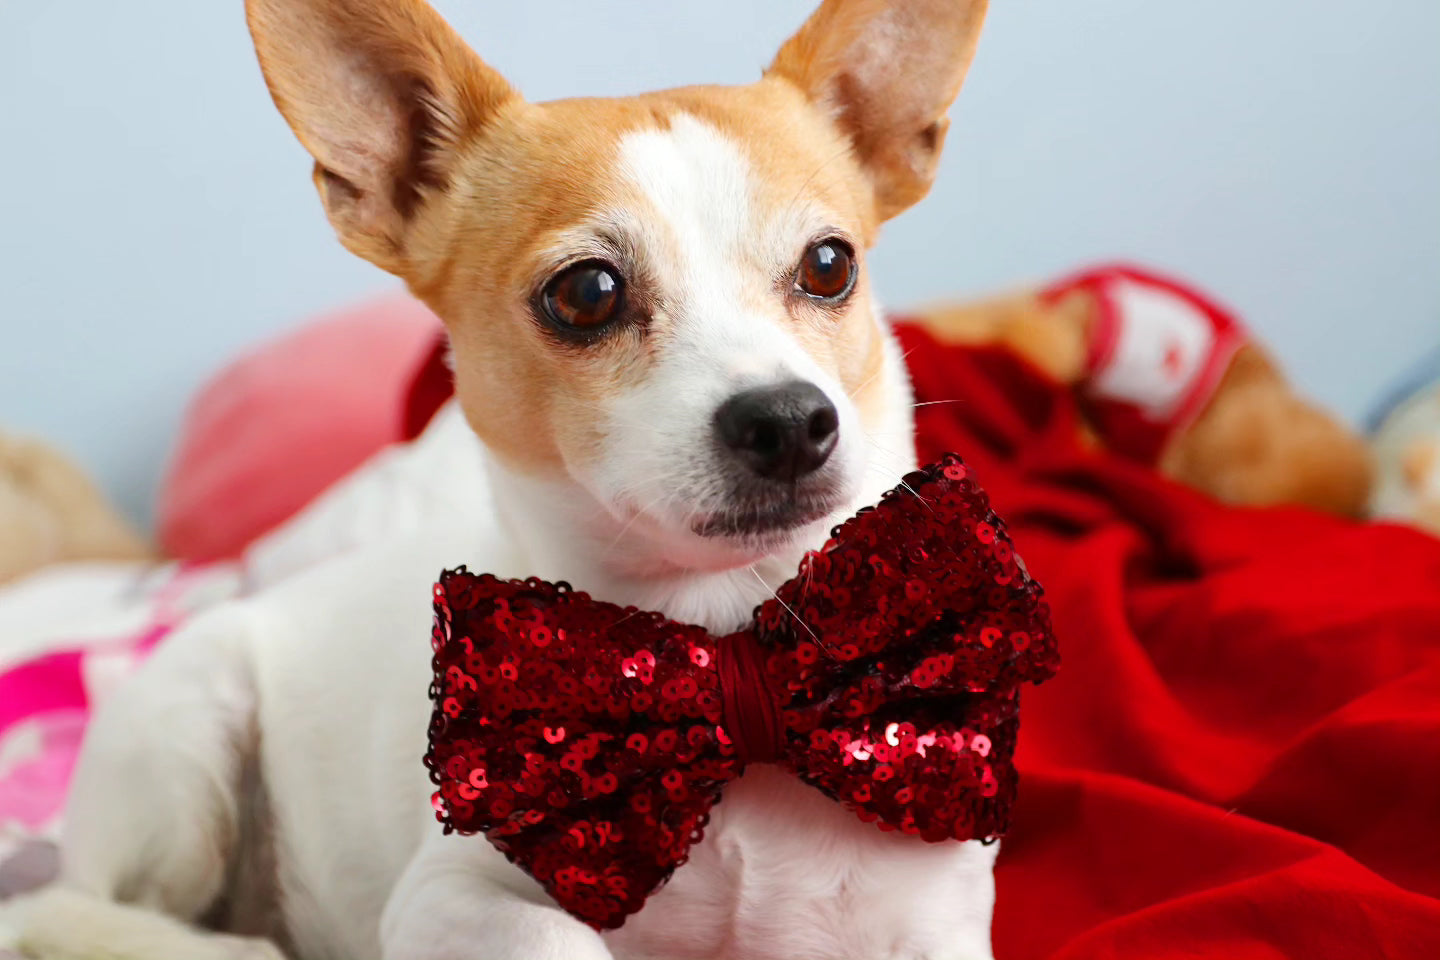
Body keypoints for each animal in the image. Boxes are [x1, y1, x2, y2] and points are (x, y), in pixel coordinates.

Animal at [5, 1, 1002, 960]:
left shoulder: (937, 925)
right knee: (71, 909)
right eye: (588, 293)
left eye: (830, 266)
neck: (729, 645)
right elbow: (557, 938)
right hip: (185, 749)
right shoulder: (448, 900)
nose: (790, 421)